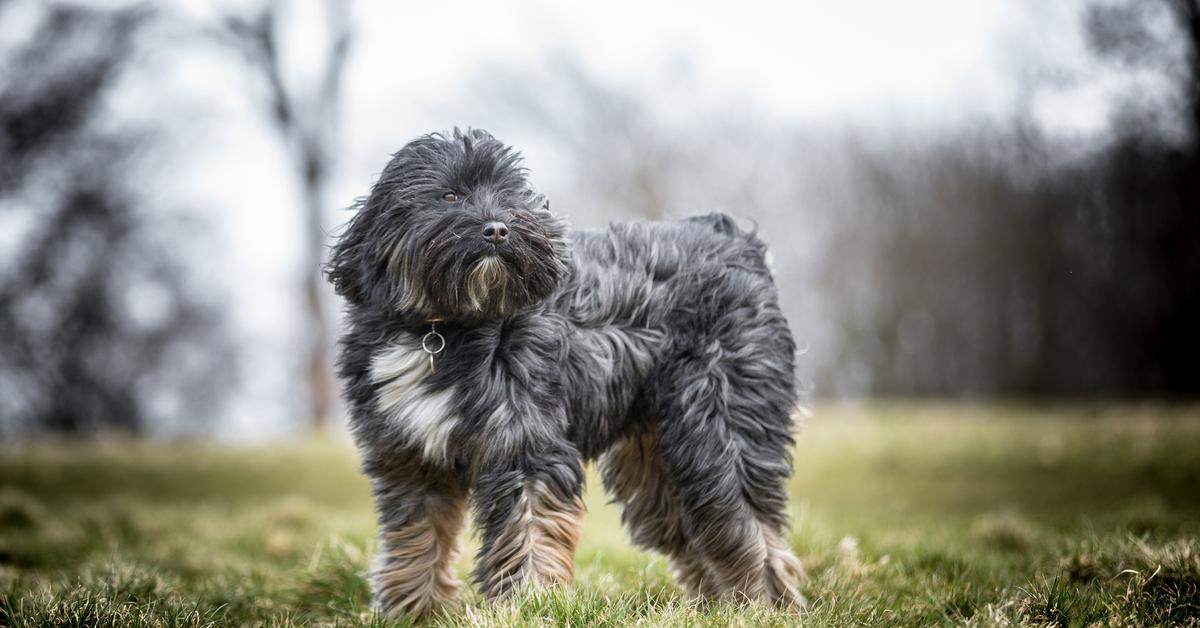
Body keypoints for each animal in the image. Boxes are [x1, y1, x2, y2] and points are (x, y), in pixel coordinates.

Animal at [326, 127, 806, 619]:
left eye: (509, 194)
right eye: (449, 195)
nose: (498, 229)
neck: (442, 328)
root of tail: (736, 241)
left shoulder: (525, 444)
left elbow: (529, 528)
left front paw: (528, 604)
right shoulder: (410, 459)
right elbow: (417, 538)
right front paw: (411, 611)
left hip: (719, 425)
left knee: (744, 519)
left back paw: (762, 604)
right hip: (656, 459)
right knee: (696, 527)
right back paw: (718, 607)